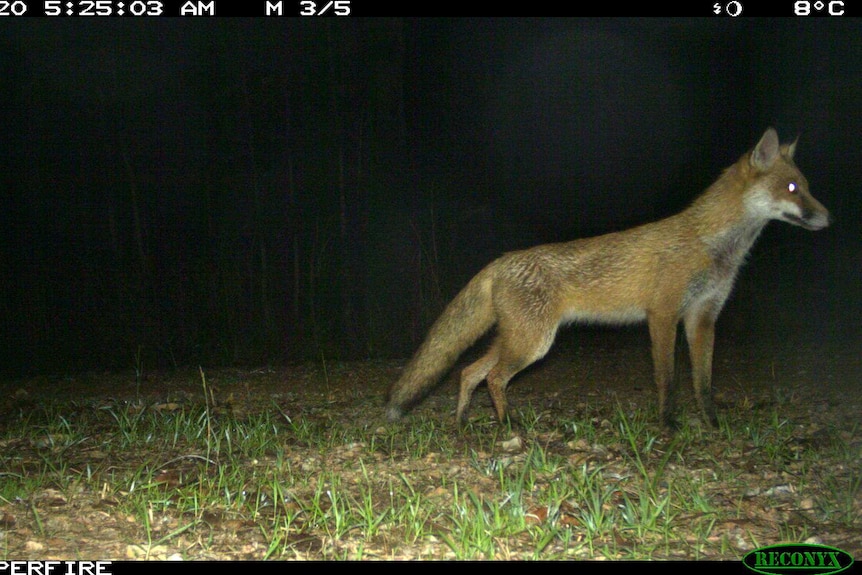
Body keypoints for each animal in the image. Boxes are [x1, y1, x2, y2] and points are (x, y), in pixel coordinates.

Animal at [388, 128, 832, 430]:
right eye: (793, 188)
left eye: (807, 188)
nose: (829, 218)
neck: (714, 248)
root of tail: (502, 259)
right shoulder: (663, 314)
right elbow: (668, 378)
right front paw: (668, 425)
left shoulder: (703, 318)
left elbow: (703, 384)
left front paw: (711, 425)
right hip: (533, 344)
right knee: (494, 377)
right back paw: (509, 427)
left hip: (516, 339)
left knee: (469, 372)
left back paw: (463, 423)